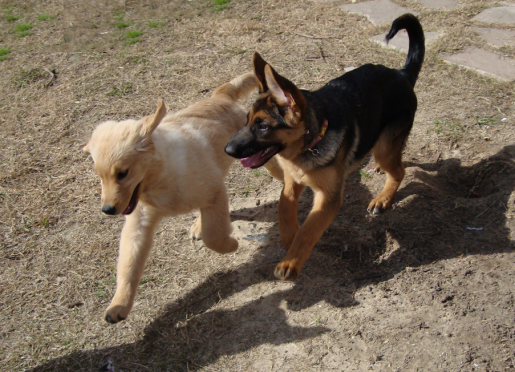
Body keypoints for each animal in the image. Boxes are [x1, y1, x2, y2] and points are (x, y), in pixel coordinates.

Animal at [82, 73, 272, 322]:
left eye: (123, 173)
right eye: (100, 176)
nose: (107, 210)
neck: (159, 179)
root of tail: (219, 95)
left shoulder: (214, 192)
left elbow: (213, 235)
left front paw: (231, 244)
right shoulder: (139, 221)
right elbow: (129, 263)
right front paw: (118, 305)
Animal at [225, 15, 424, 282]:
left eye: (263, 126)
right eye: (246, 121)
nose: (227, 149)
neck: (310, 143)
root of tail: (401, 74)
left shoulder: (328, 197)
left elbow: (310, 228)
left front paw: (291, 261)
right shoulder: (292, 181)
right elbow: (283, 207)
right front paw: (289, 237)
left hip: (385, 145)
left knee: (399, 171)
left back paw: (382, 199)